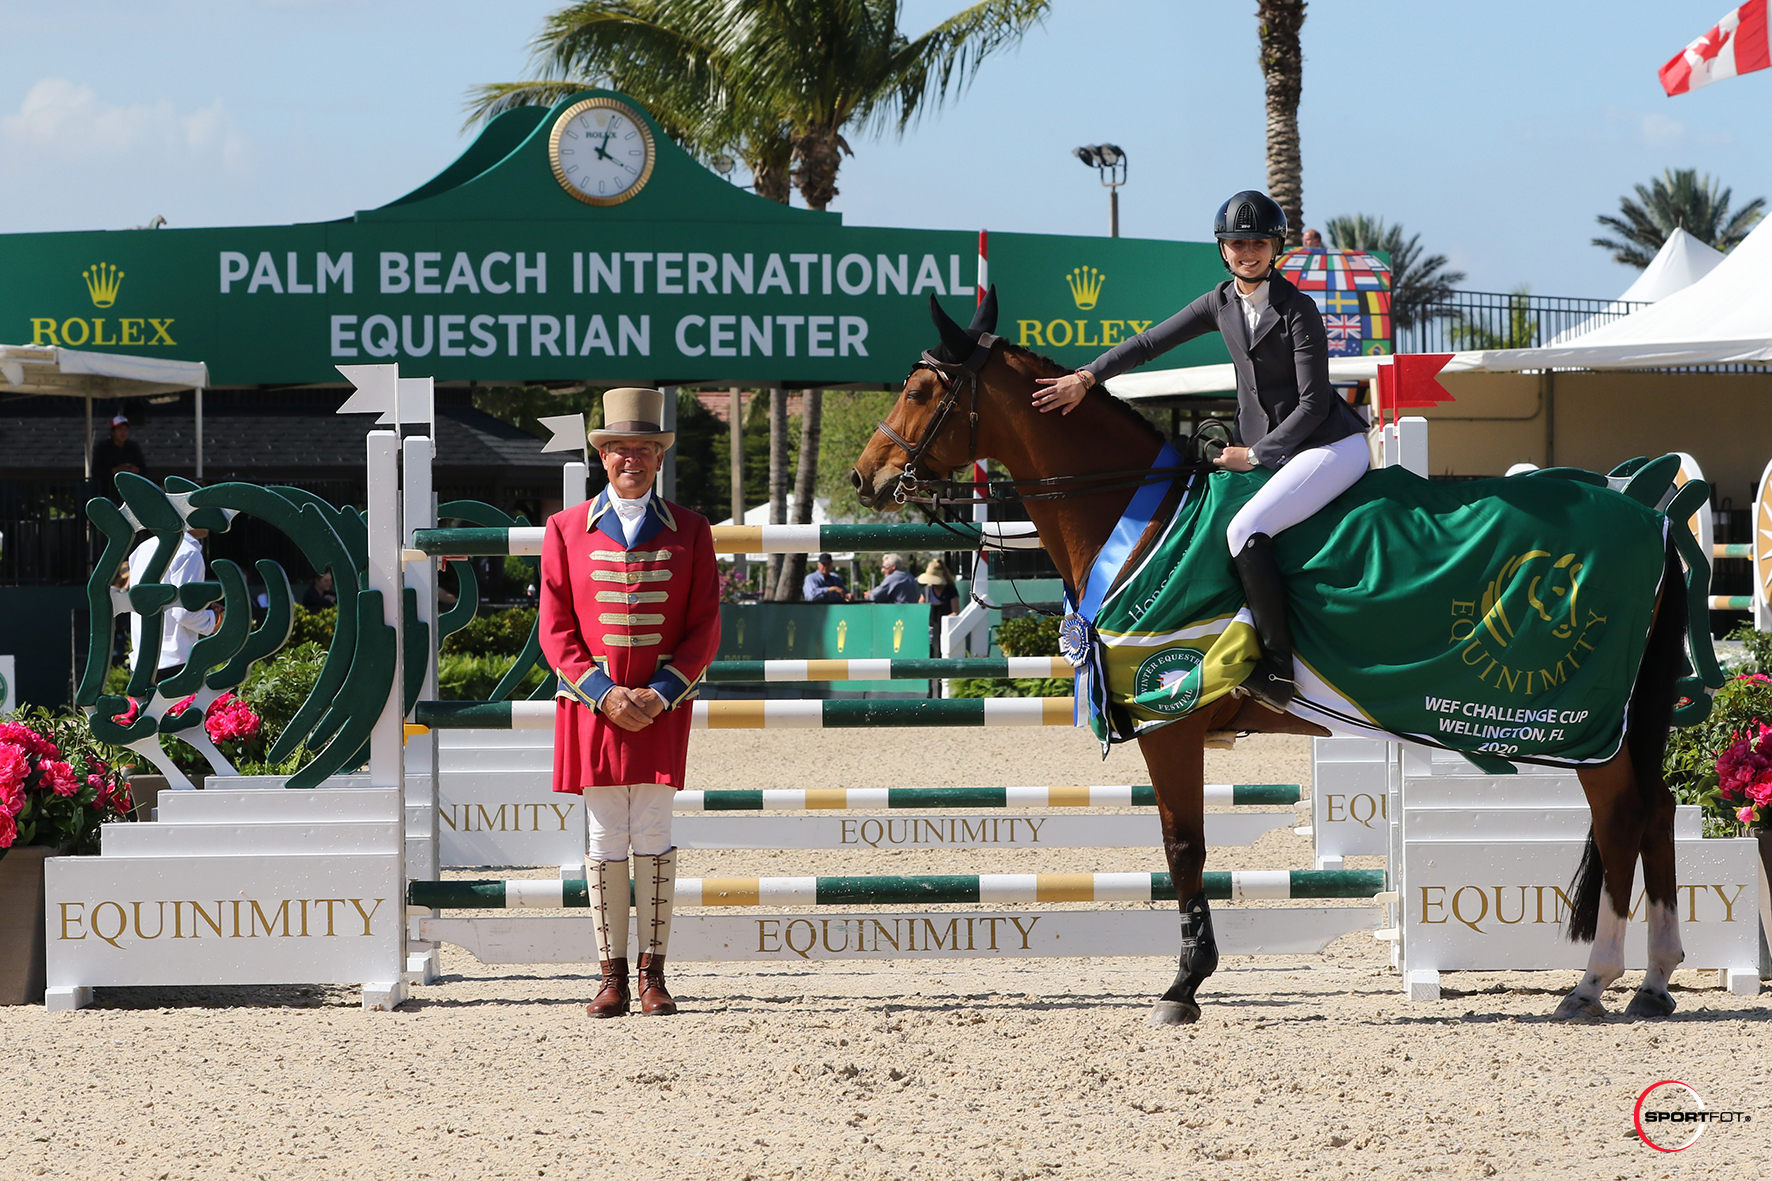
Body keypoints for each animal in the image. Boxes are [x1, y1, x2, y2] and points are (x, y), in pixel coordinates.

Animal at [854, 292, 1686, 1021]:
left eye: (922, 388)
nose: (866, 476)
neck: (1144, 520)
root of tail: (1651, 515)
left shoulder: (1171, 718)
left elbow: (1183, 846)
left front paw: (1185, 983)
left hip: (1585, 725)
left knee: (1622, 815)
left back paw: (1592, 983)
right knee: (1655, 809)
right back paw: (1653, 981)